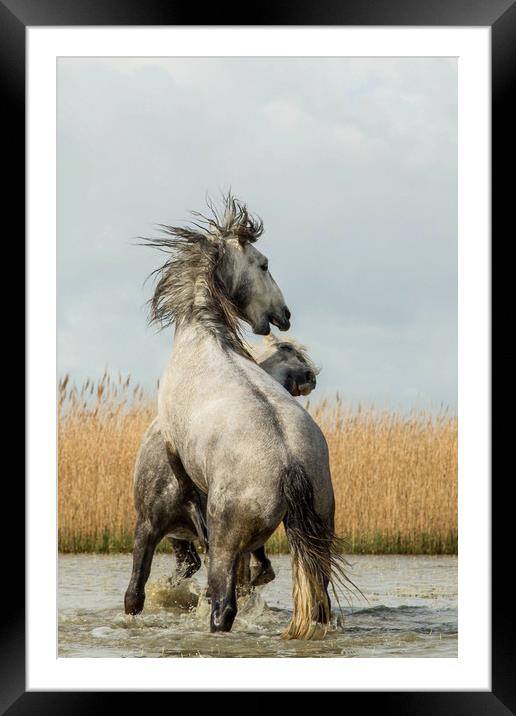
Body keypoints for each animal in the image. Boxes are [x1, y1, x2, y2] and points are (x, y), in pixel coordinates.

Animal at [141, 196, 346, 636]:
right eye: (264, 264)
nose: (285, 314)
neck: (203, 334)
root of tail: (291, 465)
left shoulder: (172, 446)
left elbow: (191, 497)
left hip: (228, 545)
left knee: (223, 605)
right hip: (320, 532)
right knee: (318, 600)